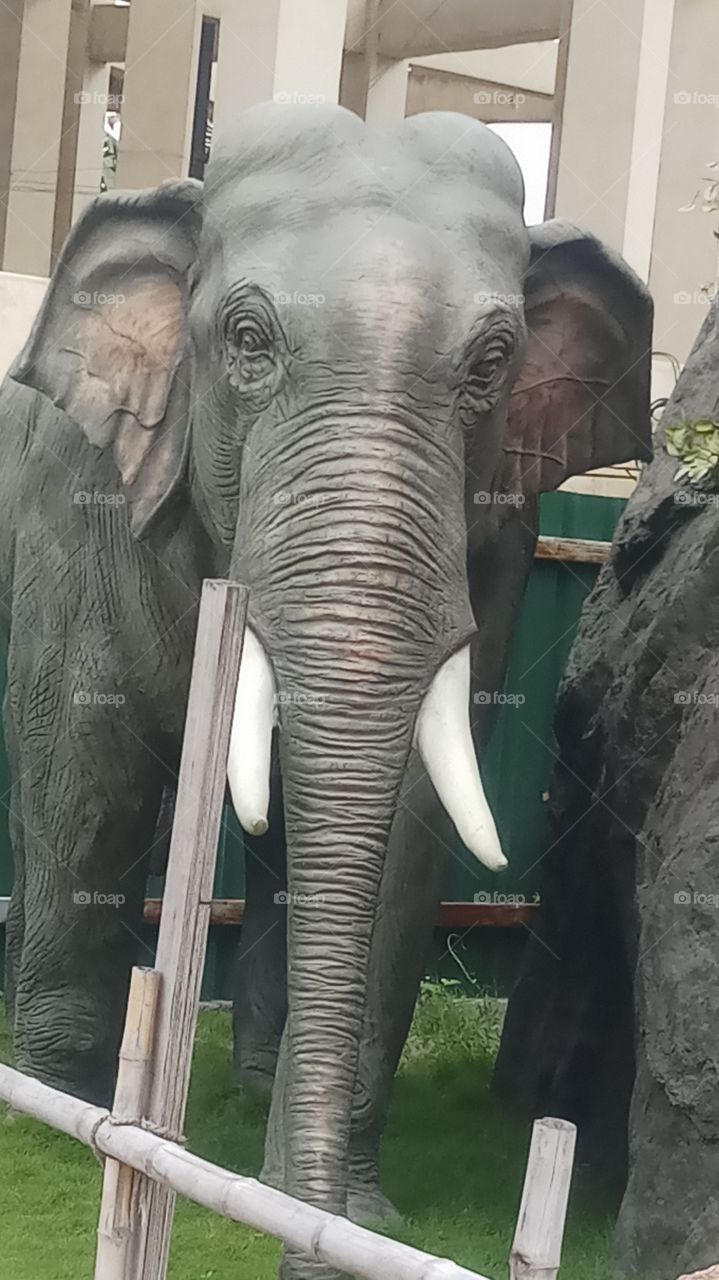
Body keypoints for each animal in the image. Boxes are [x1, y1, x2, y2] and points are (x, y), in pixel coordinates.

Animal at [0, 104, 652, 1280]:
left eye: (493, 360)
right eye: (246, 338)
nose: (309, 1241)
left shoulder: (493, 530)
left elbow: (406, 823)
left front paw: (350, 1206)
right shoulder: (79, 497)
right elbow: (90, 762)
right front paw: (58, 1118)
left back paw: (260, 1078)